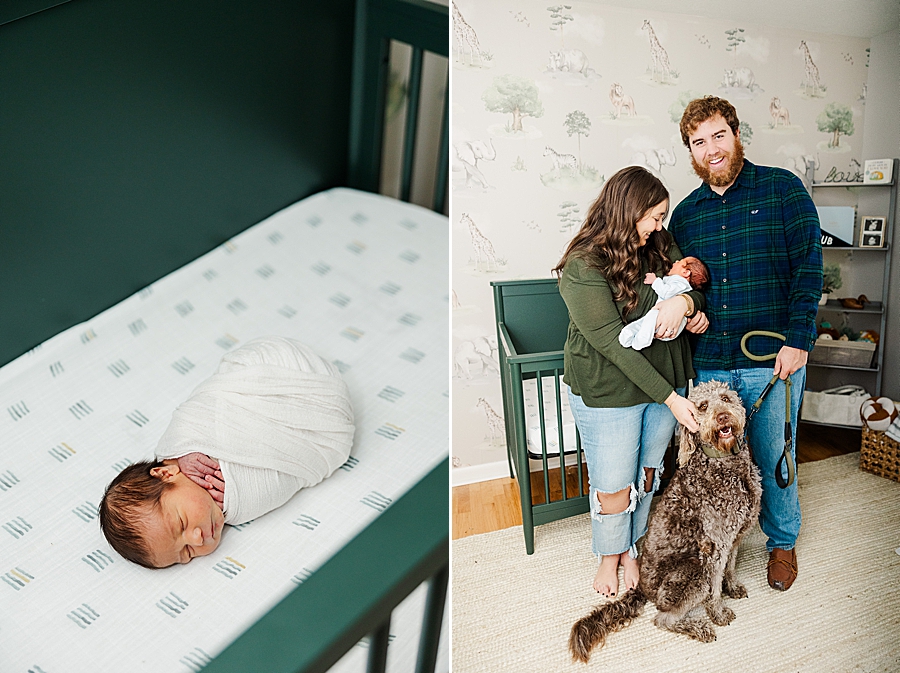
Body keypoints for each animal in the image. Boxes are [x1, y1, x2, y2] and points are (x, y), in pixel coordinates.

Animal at [568, 378, 760, 660]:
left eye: (726, 399)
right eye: (703, 406)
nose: (723, 416)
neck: (724, 464)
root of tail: (642, 588)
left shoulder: (735, 536)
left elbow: (732, 567)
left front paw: (733, 586)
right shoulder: (715, 547)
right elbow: (715, 585)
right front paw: (718, 613)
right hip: (693, 572)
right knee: (662, 619)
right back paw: (700, 628)